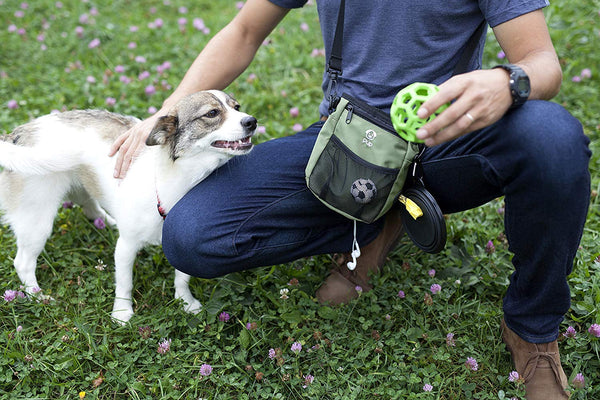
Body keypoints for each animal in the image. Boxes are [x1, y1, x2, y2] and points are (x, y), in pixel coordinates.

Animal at [0, 90, 255, 322]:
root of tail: (17, 134)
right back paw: (37, 296)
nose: (252, 121)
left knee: (88, 204)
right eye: (212, 113)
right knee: (23, 263)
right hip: (37, 220)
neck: (172, 181)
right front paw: (122, 314)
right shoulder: (126, 247)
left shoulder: (181, 244)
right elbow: (125, 283)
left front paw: (186, 302)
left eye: (237, 107)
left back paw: (107, 222)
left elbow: (182, 278)